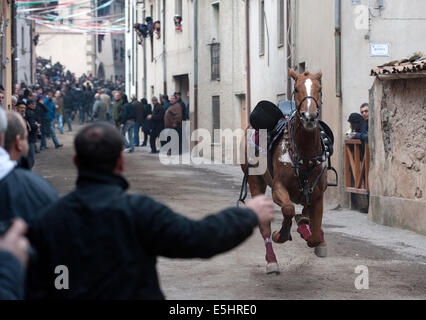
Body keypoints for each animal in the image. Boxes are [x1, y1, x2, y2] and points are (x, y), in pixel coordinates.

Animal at [241, 69, 328, 274]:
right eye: (296, 89)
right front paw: (280, 234)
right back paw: (271, 260)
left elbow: (314, 234)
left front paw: (313, 234)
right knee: (264, 225)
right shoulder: (278, 188)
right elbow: (288, 209)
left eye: (320, 89)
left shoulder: (318, 194)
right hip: (255, 182)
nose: (309, 116)